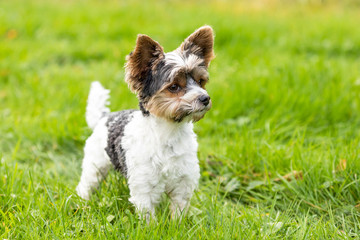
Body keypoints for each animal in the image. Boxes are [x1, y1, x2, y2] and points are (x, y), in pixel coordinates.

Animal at [76, 25, 215, 219]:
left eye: (201, 82)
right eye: (174, 87)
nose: (205, 98)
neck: (169, 133)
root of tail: (104, 117)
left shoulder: (183, 183)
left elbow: (178, 212)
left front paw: (177, 224)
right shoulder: (145, 187)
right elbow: (148, 216)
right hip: (95, 164)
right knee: (87, 184)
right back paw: (83, 203)